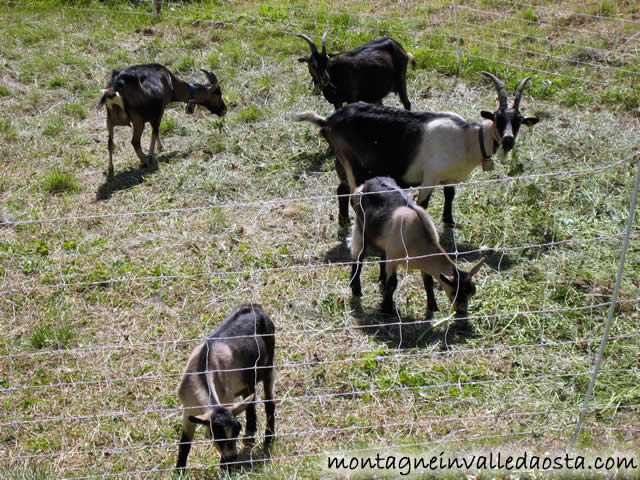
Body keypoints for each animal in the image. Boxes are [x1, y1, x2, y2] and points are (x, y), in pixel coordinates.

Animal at [95, 62, 225, 178]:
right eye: (218, 92)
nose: (224, 109)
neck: (170, 82)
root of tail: (116, 86)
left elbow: (155, 131)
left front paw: (159, 148)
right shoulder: (159, 112)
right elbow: (155, 131)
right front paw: (152, 155)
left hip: (110, 119)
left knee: (110, 143)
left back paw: (110, 169)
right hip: (138, 120)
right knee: (135, 142)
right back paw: (146, 162)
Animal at [175, 304, 276, 468]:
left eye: (236, 430)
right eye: (218, 434)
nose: (232, 456)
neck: (201, 374)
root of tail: (255, 307)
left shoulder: (227, 399)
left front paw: (225, 467)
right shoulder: (188, 410)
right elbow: (184, 445)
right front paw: (179, 470)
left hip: (268, 364)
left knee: (269, 402)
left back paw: (268, 438)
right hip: (248, 375)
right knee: (250, 397)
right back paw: (250, 432)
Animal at [298, 71, 536, 229]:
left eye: (519, 121)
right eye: (498, 119)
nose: (508, 140)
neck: (467, 138)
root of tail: (328, 122)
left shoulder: (449, 177)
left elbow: (450, 196)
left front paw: (449, 221)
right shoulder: (430, 175)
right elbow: (423, 203)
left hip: (342, 163)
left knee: (340, 190)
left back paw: (344, 221)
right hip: (352, 165)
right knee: (351, 195)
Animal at [350, 176, 484, 318]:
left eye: (472, 293)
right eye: (456, 293)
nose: (462, 312)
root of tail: (366, 183)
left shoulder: (423, 263)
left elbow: (428, 283)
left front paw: (433, 306)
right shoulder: (393, 258)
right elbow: (392, 283)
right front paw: (387, 308)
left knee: (381, 254)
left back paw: (381, 279)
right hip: (360, 227)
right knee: (358, 255)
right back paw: (356, 288)